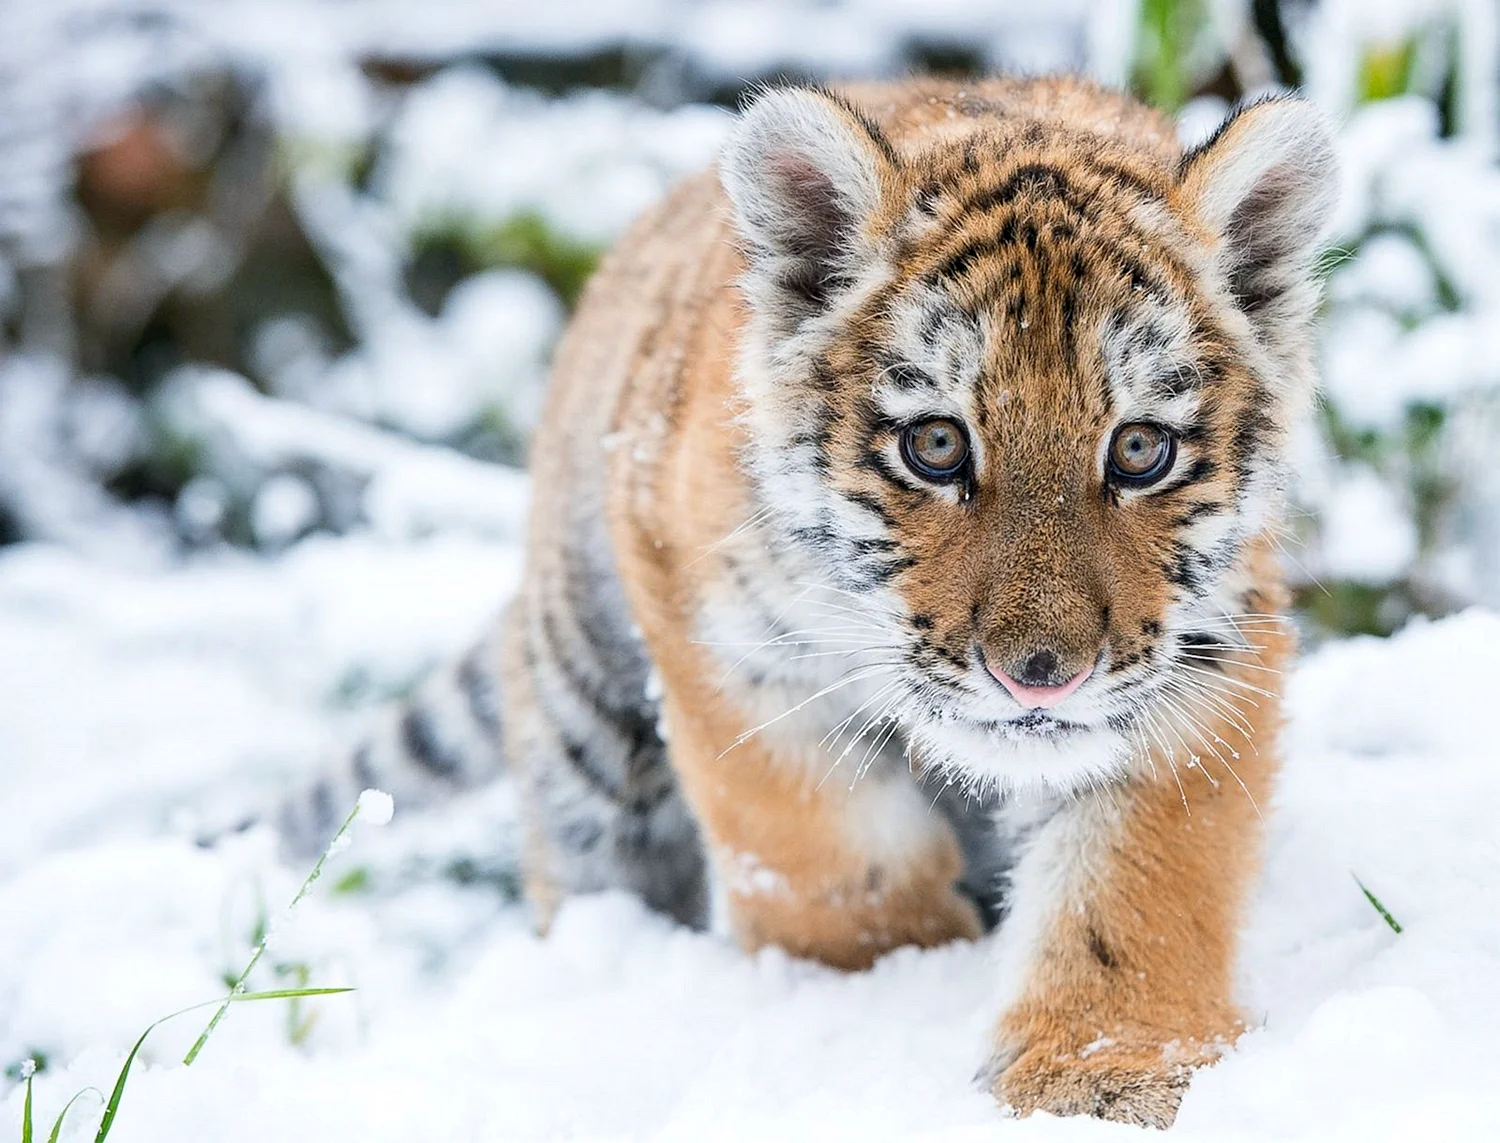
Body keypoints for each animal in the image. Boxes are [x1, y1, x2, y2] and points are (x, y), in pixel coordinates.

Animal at [274, 76, 1337, 1126]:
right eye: (936, 446)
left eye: (1140, 450)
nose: (1039, 676)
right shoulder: (723, 648)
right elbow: (826, 855)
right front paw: (892, 978)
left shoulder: (1204, 654)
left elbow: (1139, 880)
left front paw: (1103, 1072)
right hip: (589, 739)